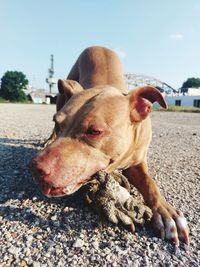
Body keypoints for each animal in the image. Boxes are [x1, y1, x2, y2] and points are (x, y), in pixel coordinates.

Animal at [30, 46, 189, 247]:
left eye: (94, 131)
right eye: (58, 123)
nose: (34, 168)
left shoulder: (137, 162)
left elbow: (150, 183)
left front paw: (166, 213)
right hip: (61, 94)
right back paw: (49, 139)